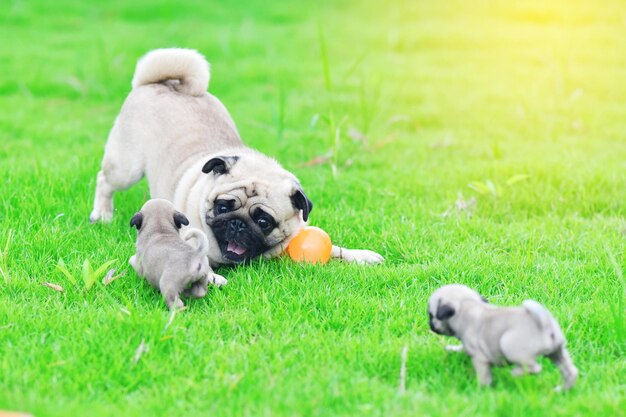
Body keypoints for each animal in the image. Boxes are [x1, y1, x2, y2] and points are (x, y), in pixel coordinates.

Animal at [87, 46, 380, 266]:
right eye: (223, 207)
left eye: (263, 221)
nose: (238, 224)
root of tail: (161, 82)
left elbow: (334, 249)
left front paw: (361, 256)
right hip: (126, 168)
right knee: (105, 181)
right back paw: (102, 214)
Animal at [426, 284, 576, 388]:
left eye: (431, 315)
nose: (430, 325)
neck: (468, 306)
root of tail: (544, 324)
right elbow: (462, 348)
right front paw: (452, 349)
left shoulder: (480, 358)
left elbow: (484, 375)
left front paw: (481, 389)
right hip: (558, 352)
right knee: (570, 371)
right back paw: (562, 389)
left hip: (510, 346)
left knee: (534, 368)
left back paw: (516, 372)